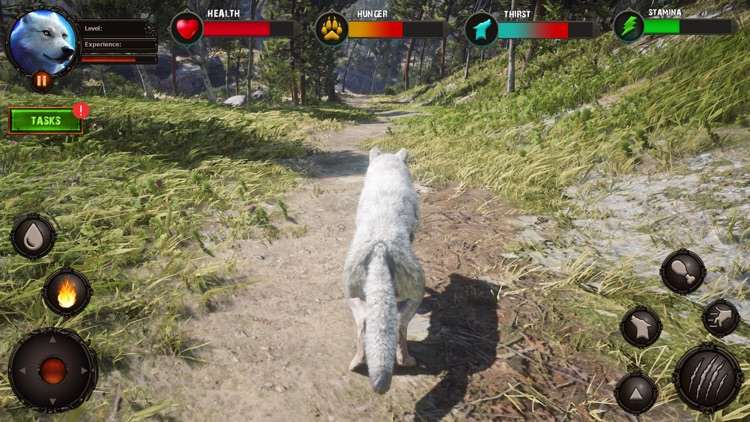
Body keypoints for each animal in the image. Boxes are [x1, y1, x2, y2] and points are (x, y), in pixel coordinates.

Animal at [343, 147, 425, 394]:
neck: (387, 167)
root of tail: (380, 246)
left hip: (352, 293)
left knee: (363, 324)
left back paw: (357, 362)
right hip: (416, 290)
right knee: (400, 325)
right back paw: (407, 360)